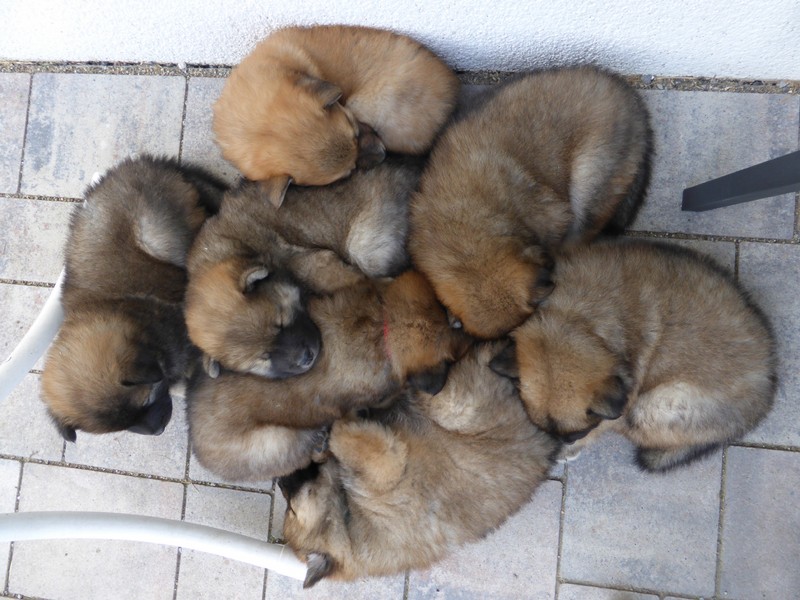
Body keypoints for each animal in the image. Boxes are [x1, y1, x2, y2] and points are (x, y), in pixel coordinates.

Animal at [185, 158, 423, 377]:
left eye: (280, 323)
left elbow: (352, 278)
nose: (306, 359)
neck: (239, 247)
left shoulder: (311, 261)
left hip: (364, 244)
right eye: (263, 357)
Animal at [278, 342, 559, 586]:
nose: (280, 481)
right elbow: (356, 443)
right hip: (458, 404)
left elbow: (346, 444)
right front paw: (334, 434)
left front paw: (326, 441)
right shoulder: (386, 465)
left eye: (289, 509)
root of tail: (540, 441)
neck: (345, 523)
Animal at [489, 239, 777, 472]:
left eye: (575, 435)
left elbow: (606, 424)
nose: (552, 455)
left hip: (656, 405)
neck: (576, 318)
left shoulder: (625, 397)